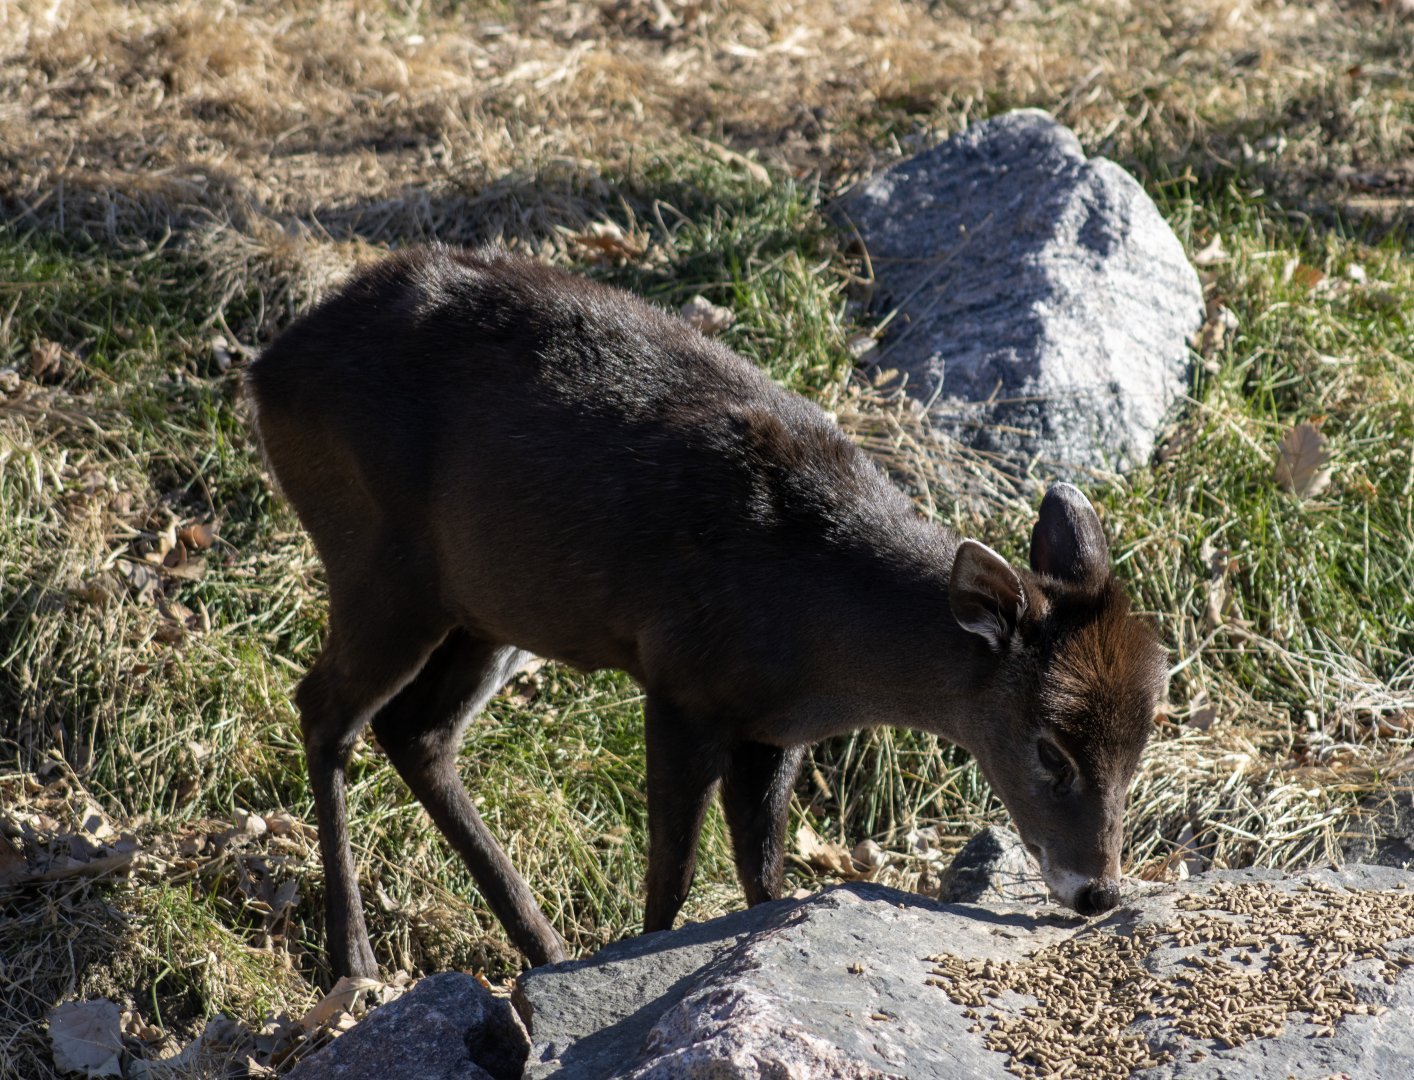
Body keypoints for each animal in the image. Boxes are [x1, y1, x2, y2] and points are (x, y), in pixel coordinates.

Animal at [245, 244, 1169, 979]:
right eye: (1049, 748)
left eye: (1140, 748)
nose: (1097, 890)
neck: (818, 623)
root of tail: (266, 370)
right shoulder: (680, 680)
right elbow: (673, 873)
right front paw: (637, 961)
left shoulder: (772, 732)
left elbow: (764, 878)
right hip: (378, 561)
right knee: (325, 708)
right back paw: (357, 959)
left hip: (487, 609)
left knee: (416, 730)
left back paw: (542, 948)